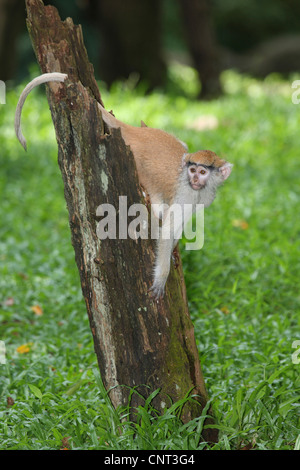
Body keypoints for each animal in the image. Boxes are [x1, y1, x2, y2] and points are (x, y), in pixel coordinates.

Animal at [15, 73, 233, 300]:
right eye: (193, 170)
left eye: (203, 172)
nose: (195, 180)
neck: (195, 188)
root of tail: (138, 133)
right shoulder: (185, 193)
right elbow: (167, 229)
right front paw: (162, 276)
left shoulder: (202, 198)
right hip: (139, 163)